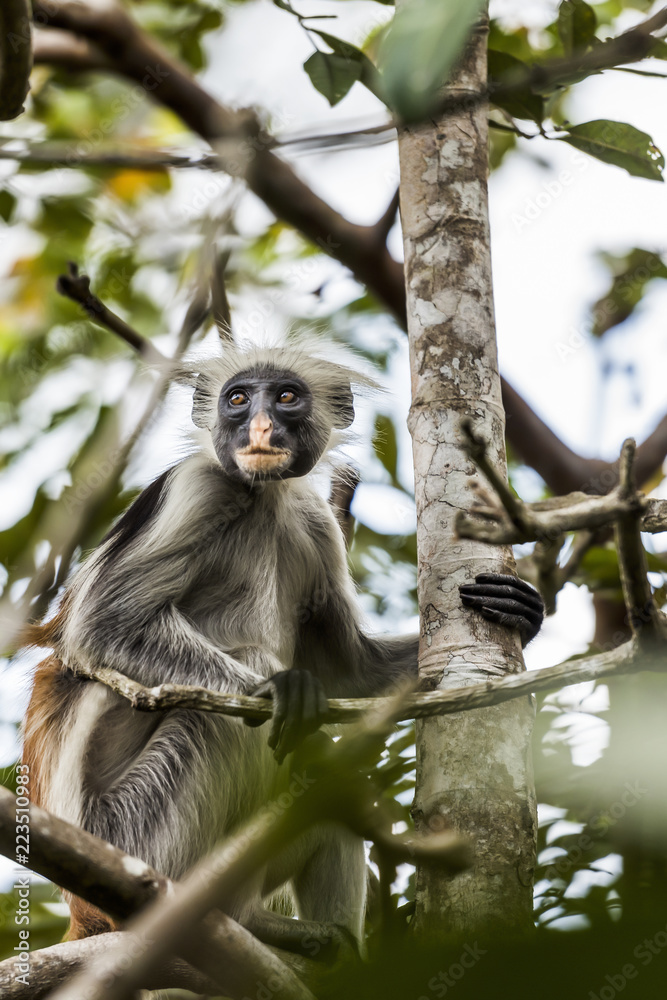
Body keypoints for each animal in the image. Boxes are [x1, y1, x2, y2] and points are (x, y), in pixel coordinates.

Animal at [22, 340, 544, 954]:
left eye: (287, 397)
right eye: (238, 400)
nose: (261, 425)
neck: (263, 496)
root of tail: (83, 910)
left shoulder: (313, 521)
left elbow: (349, 670)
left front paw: (522, 613)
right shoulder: (200, 485)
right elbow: (105, 626)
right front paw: (284, 697)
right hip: (138, 838)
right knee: (231, 713)